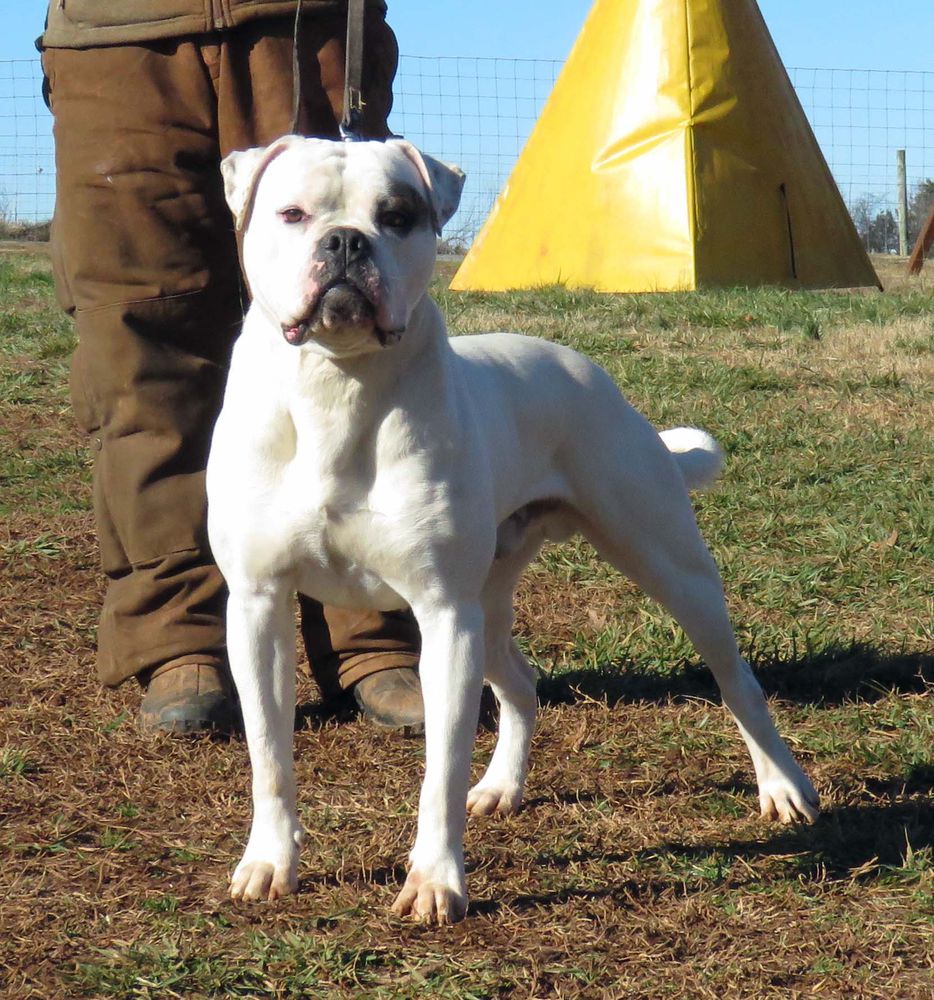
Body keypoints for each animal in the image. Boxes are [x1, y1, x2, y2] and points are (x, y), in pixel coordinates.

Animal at [207, 137, 820, 924]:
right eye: (291, 213)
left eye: (397, 215)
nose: (345, 241)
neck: (335, 387)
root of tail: (587, 370)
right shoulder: (258, 605)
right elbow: (269, 754)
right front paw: (269, 862)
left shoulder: (443, 615)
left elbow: (439, 770)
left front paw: (435, 881)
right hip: (490, 609)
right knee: (522, 684)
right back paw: (503, 787)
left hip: (663, 567)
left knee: (736, 681)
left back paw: (784, 786)